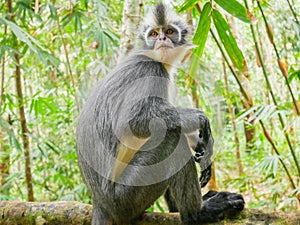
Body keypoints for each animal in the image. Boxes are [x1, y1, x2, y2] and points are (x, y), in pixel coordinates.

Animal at [76, 2, 245, 225]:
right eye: (154, 34)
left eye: (170, 32)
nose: (162, 39)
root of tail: (100, 203)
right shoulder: (150, 71)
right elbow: (131, 122)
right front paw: (199, 120)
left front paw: (201, 145)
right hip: (125, 198)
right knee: (171, 138)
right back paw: (197, 213)